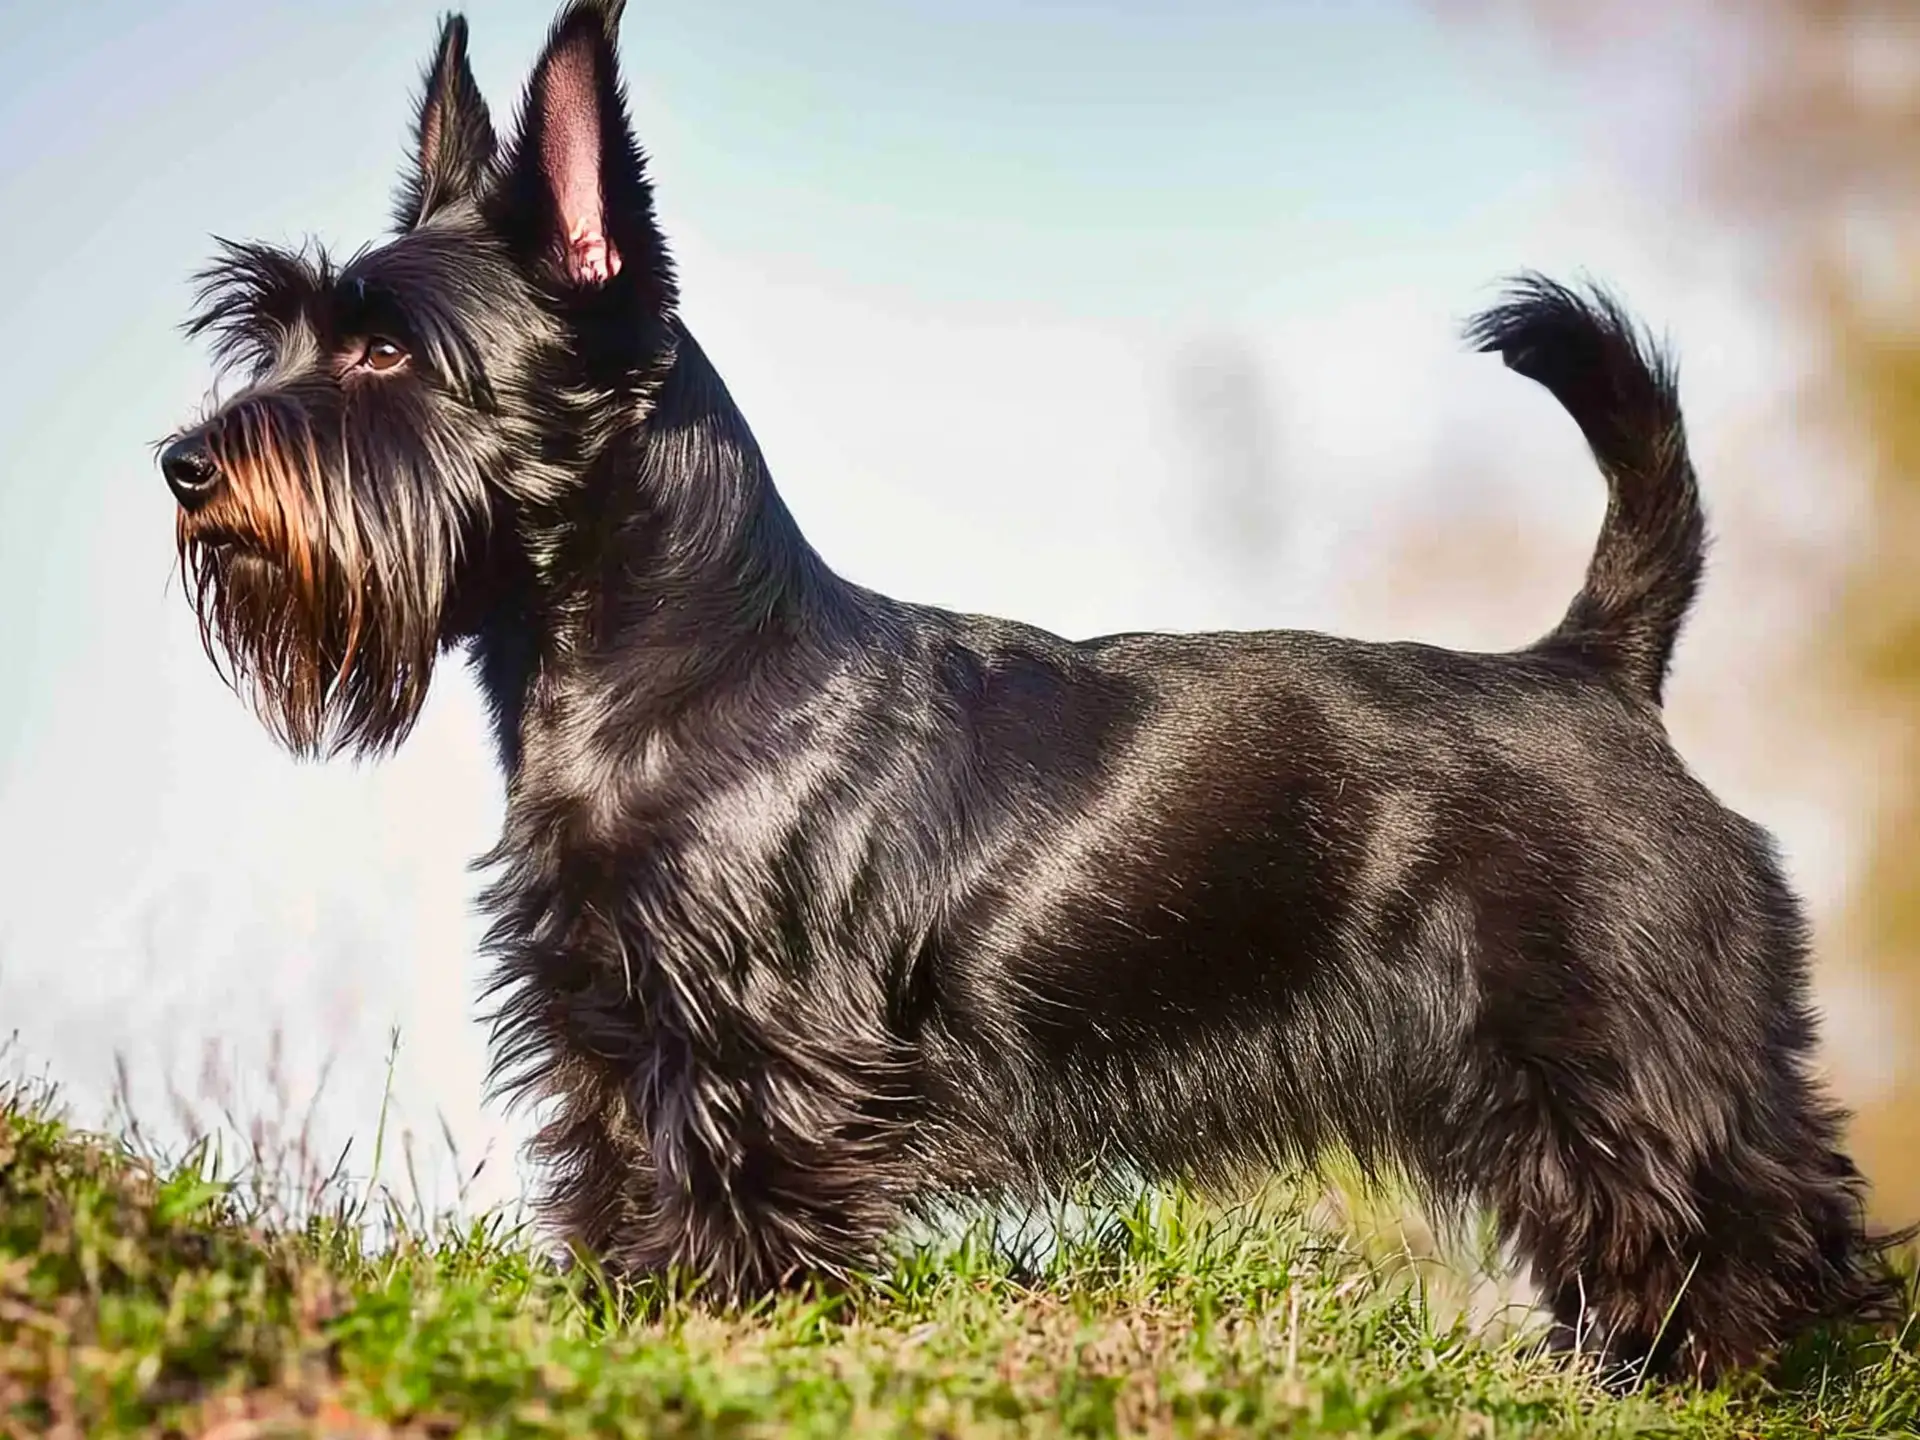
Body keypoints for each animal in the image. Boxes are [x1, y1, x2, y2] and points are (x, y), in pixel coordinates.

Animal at [161, 0, 1904, 1382]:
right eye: (284, 332)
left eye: (390, 355)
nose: (183, 464)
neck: (659, 682)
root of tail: (1598, 667)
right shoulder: (606, 1042)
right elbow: (623, 1210)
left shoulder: (756, 1071)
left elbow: (737, 1232)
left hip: (1633, 1053)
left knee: (1761, 1220)